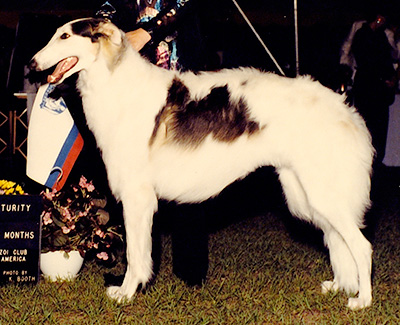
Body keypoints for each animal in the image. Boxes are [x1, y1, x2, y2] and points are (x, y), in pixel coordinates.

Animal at [30, 17, 376, 308]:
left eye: (65, 36)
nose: (32, 64)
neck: (117, 83)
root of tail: (345, 108)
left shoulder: (137, 197)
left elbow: (135, 255)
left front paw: (126, 293)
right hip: (306, 194)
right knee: (339, 242)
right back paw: (340, 286)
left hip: (323, 192)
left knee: (361, 247)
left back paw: (362, 300)